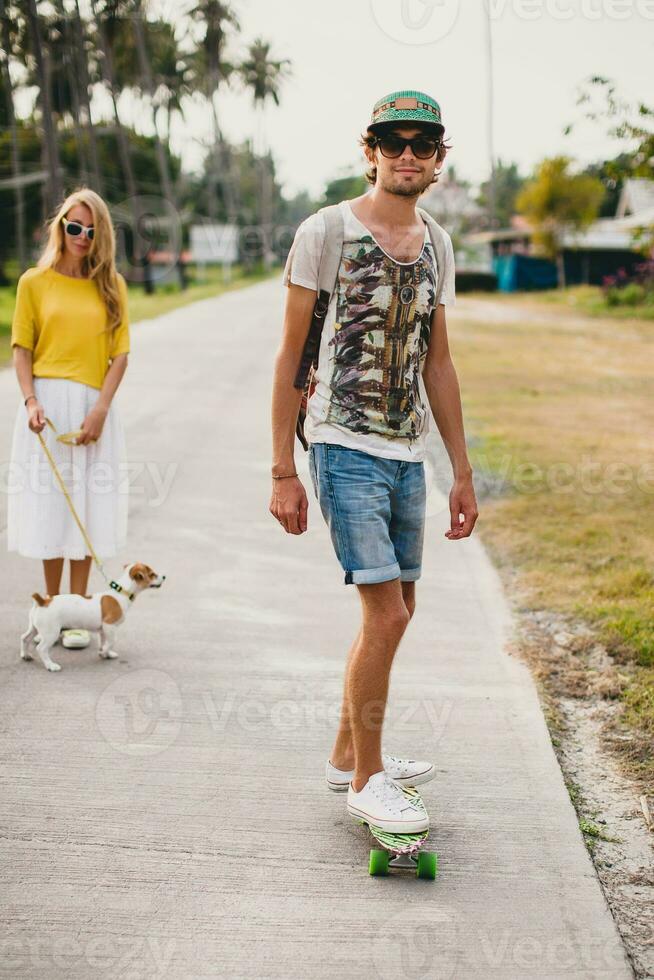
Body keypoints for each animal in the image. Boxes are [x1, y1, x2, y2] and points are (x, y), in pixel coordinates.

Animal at [20, 564, 165, 668]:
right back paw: (50, 665)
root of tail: (43, 601)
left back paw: (25, 655)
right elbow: (112, 641)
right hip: (51, 633)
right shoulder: (109, 625)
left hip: (34, 628)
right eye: (152, 574)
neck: (122, 592)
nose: (164, 576)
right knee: (41, 649)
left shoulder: (103, 630)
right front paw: (103, 652)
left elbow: (104, 641)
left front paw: (107, 654)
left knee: (24, 638)